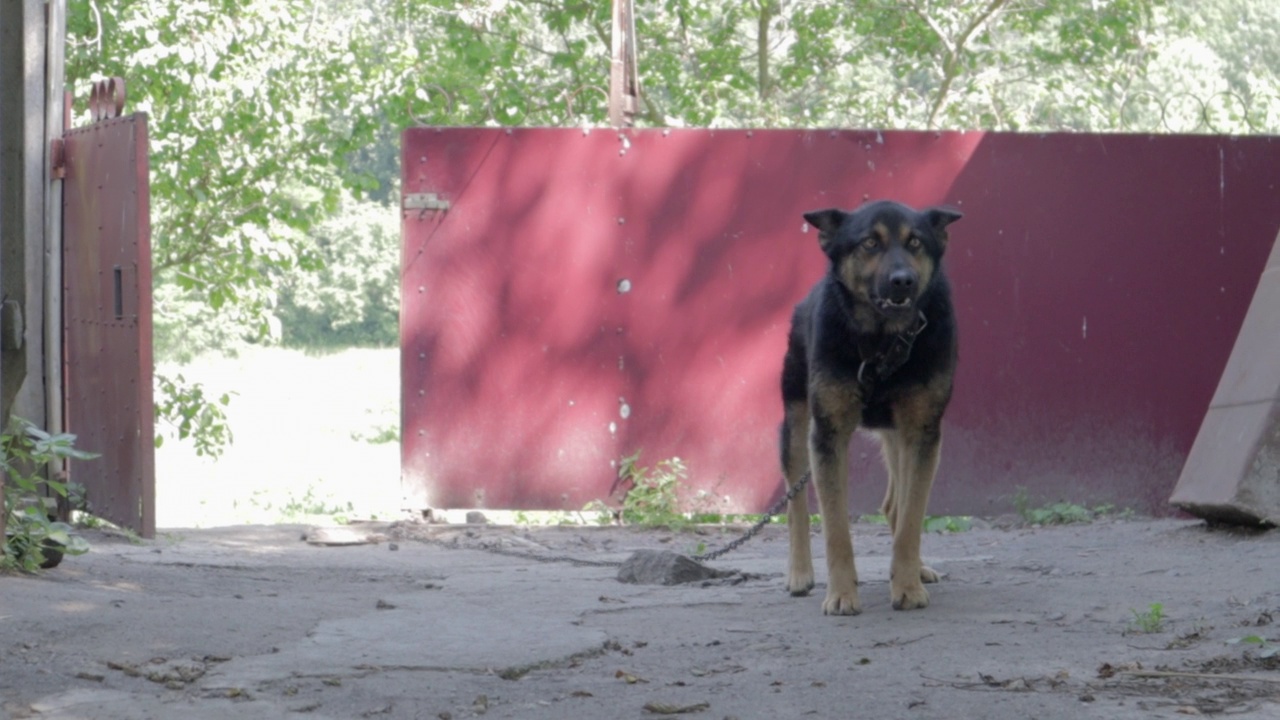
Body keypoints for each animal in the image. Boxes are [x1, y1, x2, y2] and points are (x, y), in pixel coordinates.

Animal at [773, 198, 962, 614]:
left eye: (915, 242)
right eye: (870, 243)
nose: (903, 280)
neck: (882, 342)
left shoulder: (922, 433)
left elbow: (910, 519)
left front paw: (907, 585)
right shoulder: (827, 435)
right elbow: (835, 529)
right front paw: (842, 594)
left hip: (898, 437)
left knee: (895, 504)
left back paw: (916, 568)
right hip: (794, 426)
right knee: (795, 502)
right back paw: (799, 573)